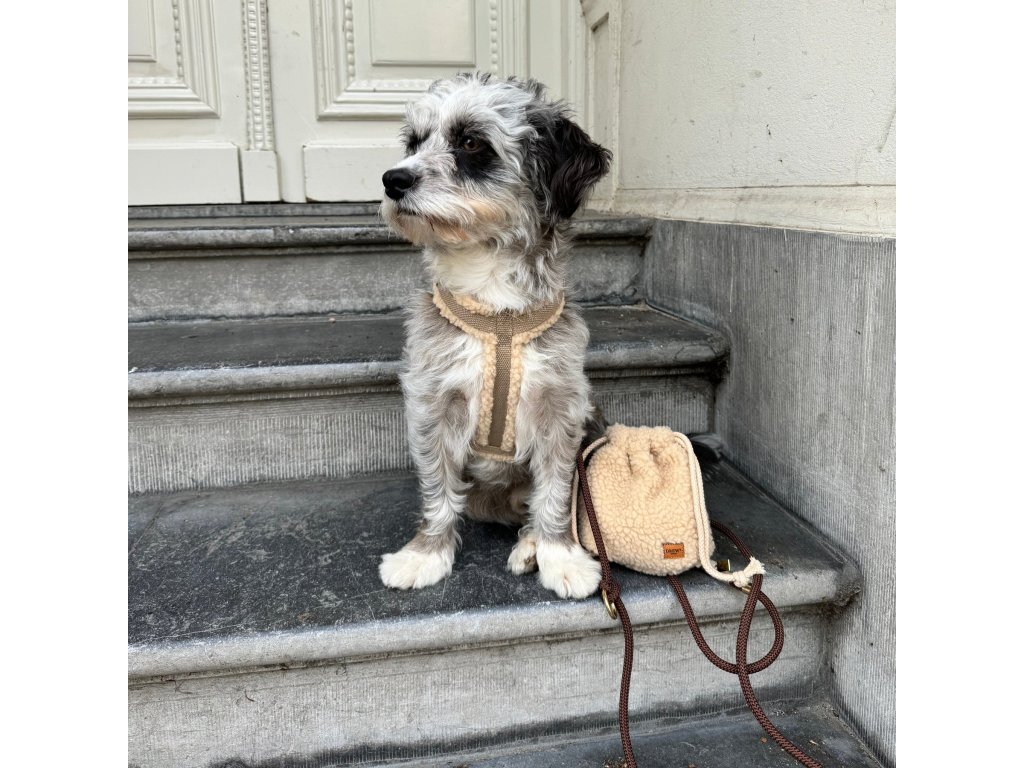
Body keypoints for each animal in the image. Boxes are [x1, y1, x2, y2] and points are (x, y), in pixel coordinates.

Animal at [377, 73, 611, 599]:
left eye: (470, 143)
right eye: (414, 142)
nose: (392, 179)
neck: (495, 305)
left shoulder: (560, 408)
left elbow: (555, 494)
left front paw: (560, 556)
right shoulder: (433, 404)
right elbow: (437, 493)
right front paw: (426, 554)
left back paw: (530, 546)